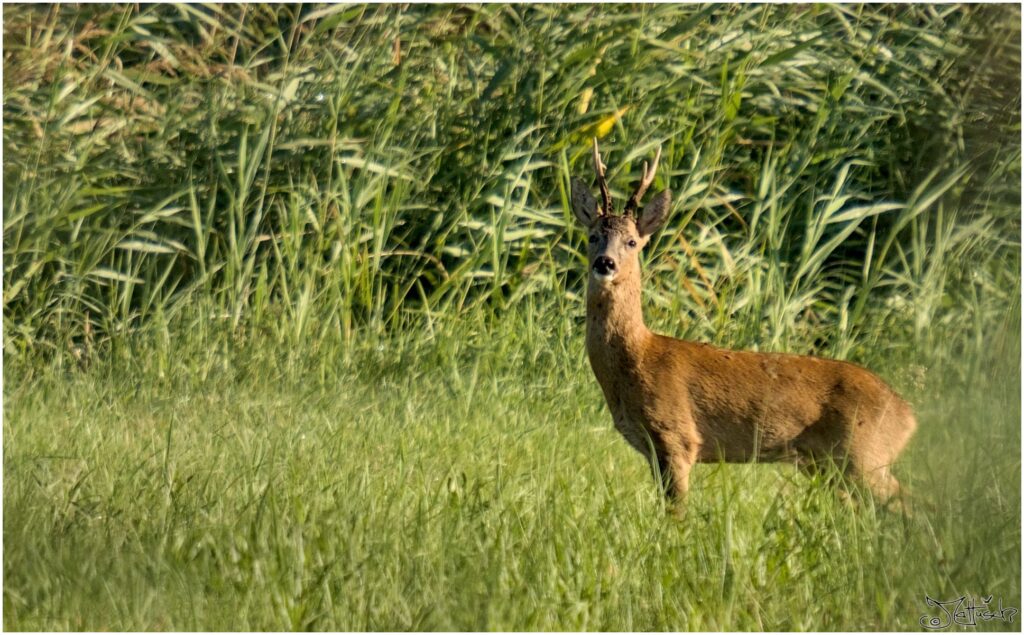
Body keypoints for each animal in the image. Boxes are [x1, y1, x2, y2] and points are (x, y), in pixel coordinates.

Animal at [573, 139, 917, 510]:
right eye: (592, 236)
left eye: (632, 241)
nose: (605, 263)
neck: (636, 358)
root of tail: (909, 414)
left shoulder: (678, 437)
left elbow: (675, 511)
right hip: (827, 465)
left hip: (864, 455)